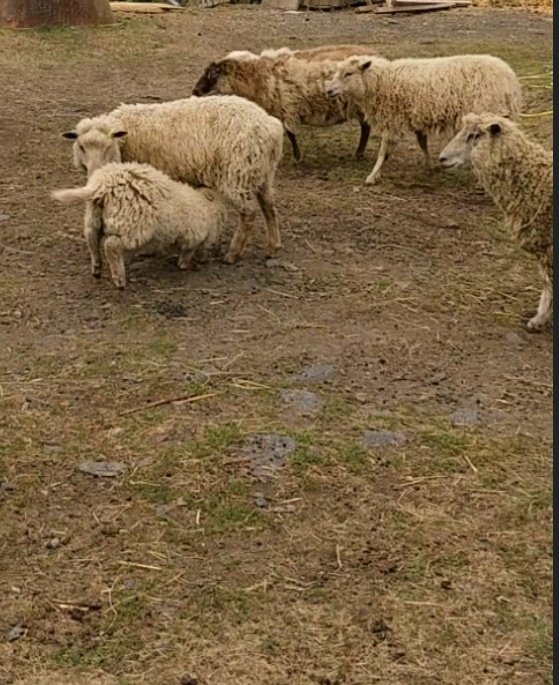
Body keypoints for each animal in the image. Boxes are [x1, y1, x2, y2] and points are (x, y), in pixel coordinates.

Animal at [52, 162, 231, 289]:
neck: (207, 207)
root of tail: (104, 184)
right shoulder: (193, 235)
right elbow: (188, 252)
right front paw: (184, 265)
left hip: (94, 215)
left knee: (91, 236)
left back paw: (96, 266)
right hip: (133, 226)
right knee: (111, 244)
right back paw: (119, 279)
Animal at [61, 95, 284, 264]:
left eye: (108, 146)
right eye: (81, 147)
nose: (96, 174)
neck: (127, 136)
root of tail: (271, 126)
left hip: (237, 174)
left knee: (249, 213)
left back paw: (233, 254)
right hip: (262, 172)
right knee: (269, 206)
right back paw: (273, 247)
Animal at [192, 45, 378, 162]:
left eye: (213, 73)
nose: (195, 91)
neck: (256, 76)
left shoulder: (287, 108)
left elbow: (290, 133)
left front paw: (297, 156)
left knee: (366, 128)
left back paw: (359, 154)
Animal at [325, 54, 522, 185]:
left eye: (348, 74)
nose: (328, 90)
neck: (383, 82)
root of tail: (510, 80)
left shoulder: (392, 120)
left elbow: (383, 151)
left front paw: (372, 176)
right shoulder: (416, 117)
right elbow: (422, 142)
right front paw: (429, 166)